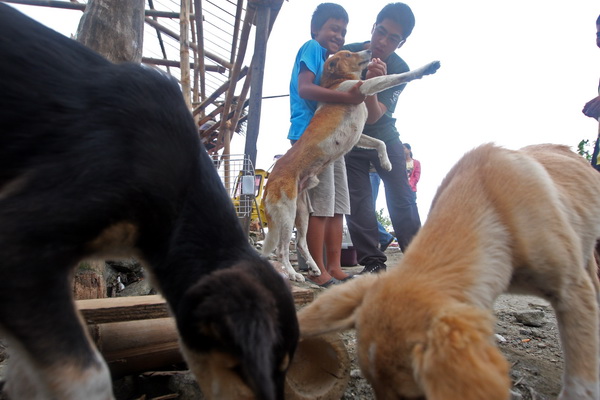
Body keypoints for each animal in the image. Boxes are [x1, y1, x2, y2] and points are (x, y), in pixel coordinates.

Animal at [262, 49, 440, 282]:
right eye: (347, 54)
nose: (369, 49)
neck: (335, 83)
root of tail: (270, 178)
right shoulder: (362, 87)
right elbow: (396, 77)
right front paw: (427, 68)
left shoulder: (359, 137)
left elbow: (380, 142)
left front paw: (386, 162)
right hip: (287, 212)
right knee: (281, 249)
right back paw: (293, 274)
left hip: (301, 212)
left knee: (300, 243)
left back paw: (315, 268)